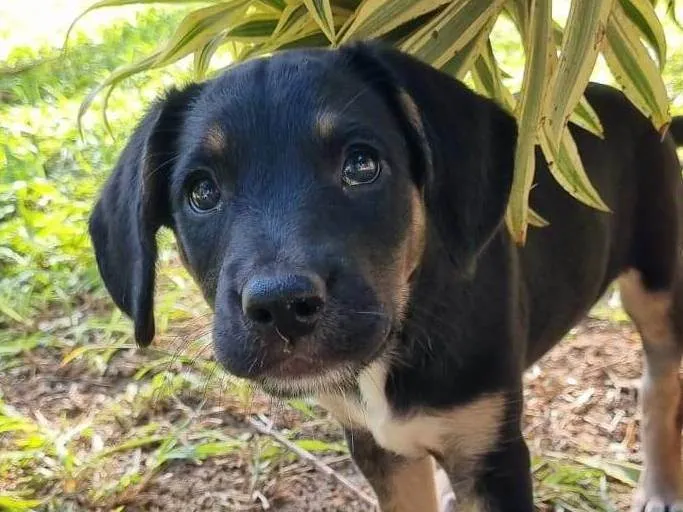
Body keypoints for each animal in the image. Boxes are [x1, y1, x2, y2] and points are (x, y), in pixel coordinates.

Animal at [89, 44, 683, 512]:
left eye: (361, 165)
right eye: (201, 192)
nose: (281, 307)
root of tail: (639, 107)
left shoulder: (493, 456)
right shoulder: (378, 448)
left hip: (656, 286)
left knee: (658, 385)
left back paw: (660, 487)